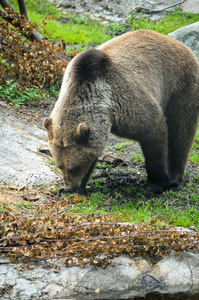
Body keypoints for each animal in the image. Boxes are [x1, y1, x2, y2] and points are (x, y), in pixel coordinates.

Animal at [44, 29, 199, 195]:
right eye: (60, 166)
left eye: (73, 168)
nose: (69, 187)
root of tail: (179, 44)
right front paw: (80, 187)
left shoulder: (126, 103)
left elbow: (154, 131)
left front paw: (157, 182)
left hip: (180, 84)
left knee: (181, 131)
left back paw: (174, 179)